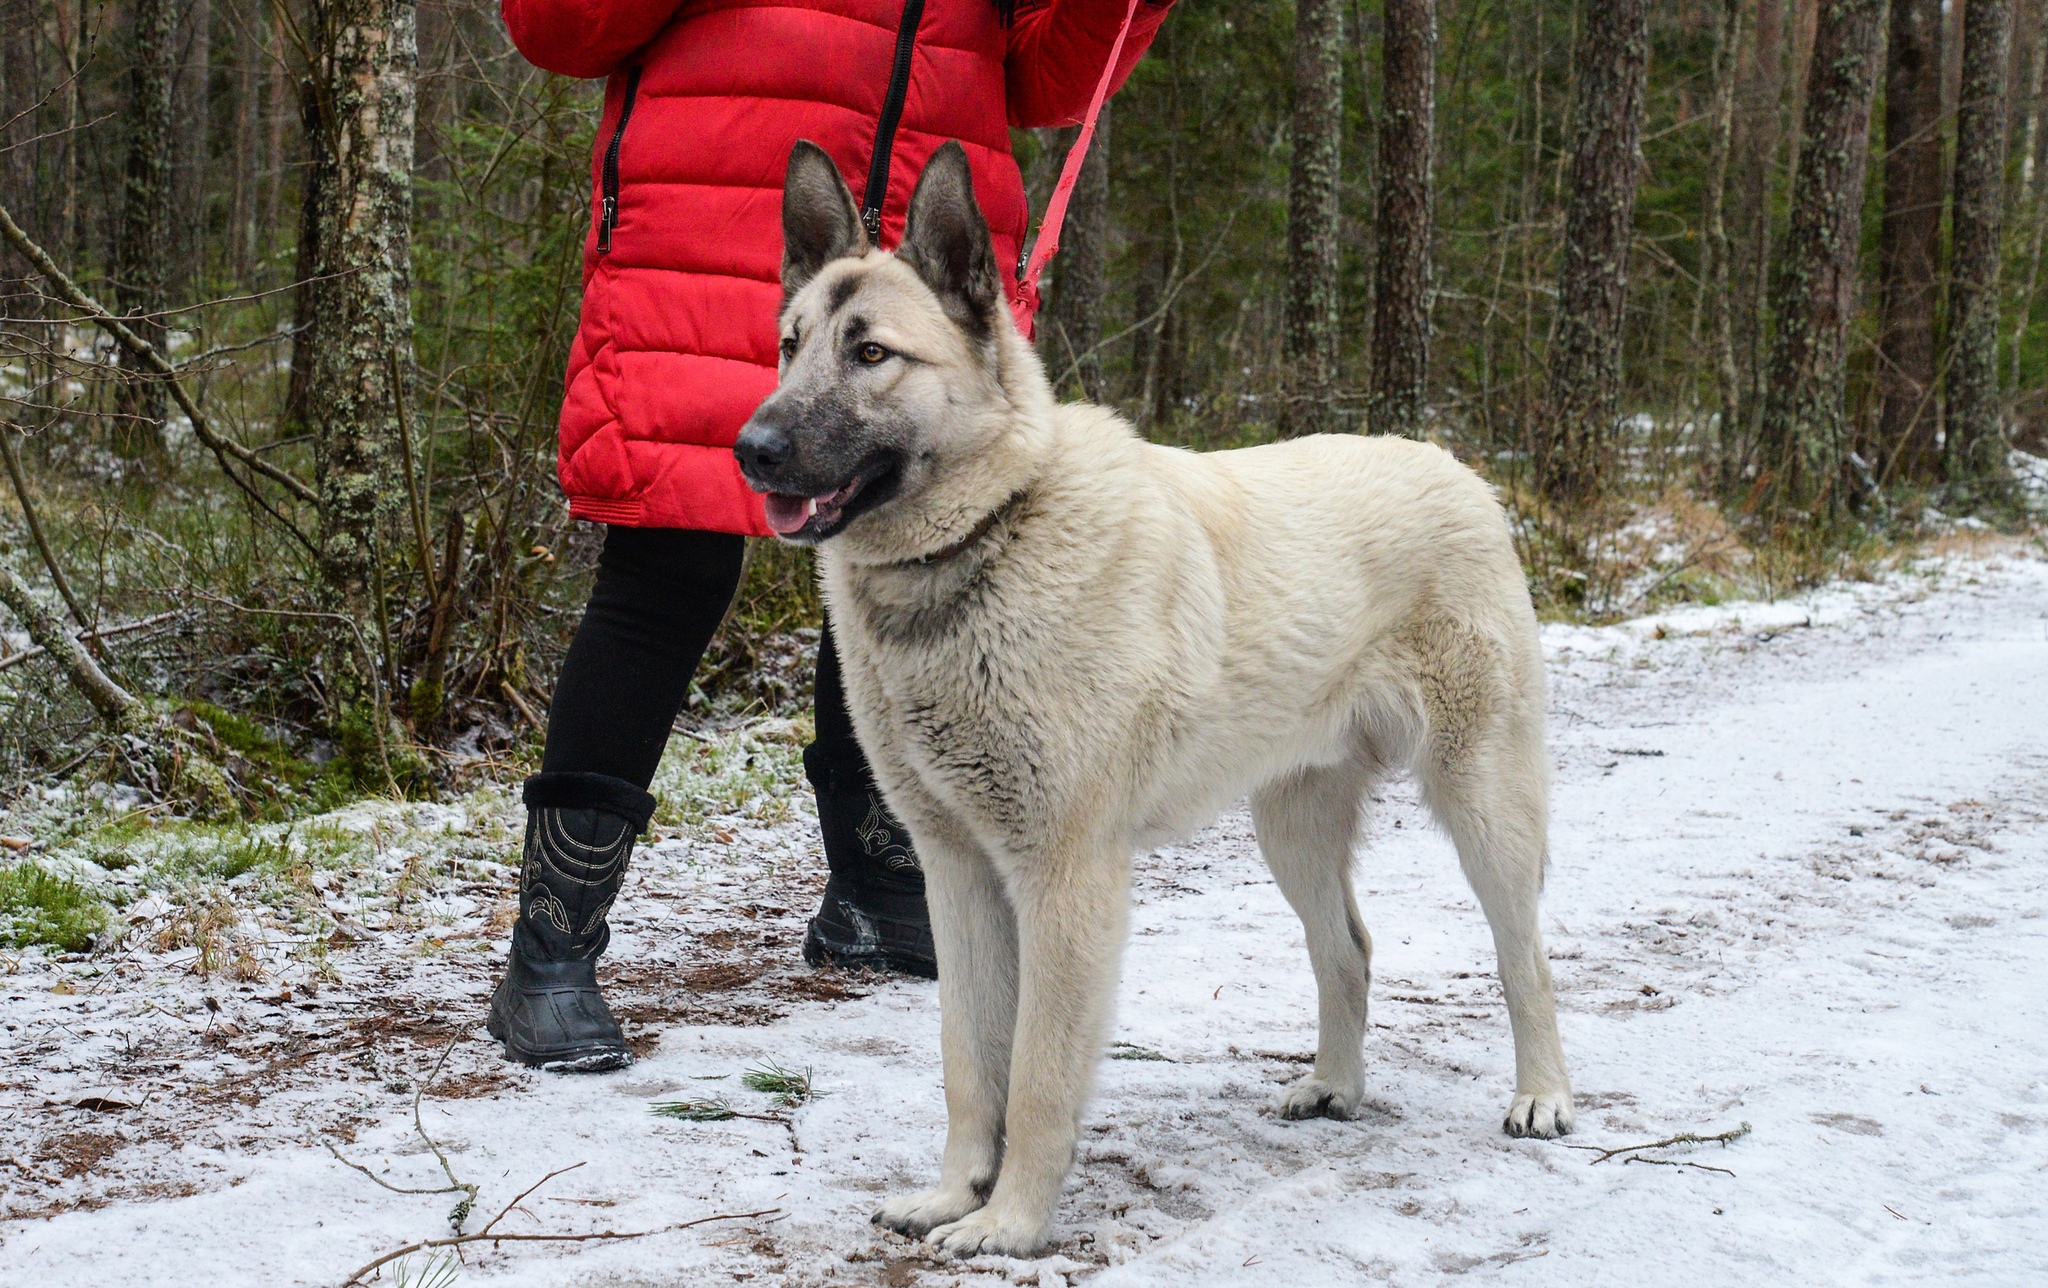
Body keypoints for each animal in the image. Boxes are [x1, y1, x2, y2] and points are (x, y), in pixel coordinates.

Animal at [741, 140, 1581, 1253]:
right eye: (789, 347)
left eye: (871, 353)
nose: (749, 448)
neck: (991, 532)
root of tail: (1451, 467)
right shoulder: (958, 876)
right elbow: (969, 1061)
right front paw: (955, 1192)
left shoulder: (1065, 881)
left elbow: (1038, 1076)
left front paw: (1011, 1222)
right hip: (1290, 826)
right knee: (1348, 949)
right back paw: (1332, 1084)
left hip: (1482, 804)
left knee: (1524, 954)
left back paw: (1542, 1095)